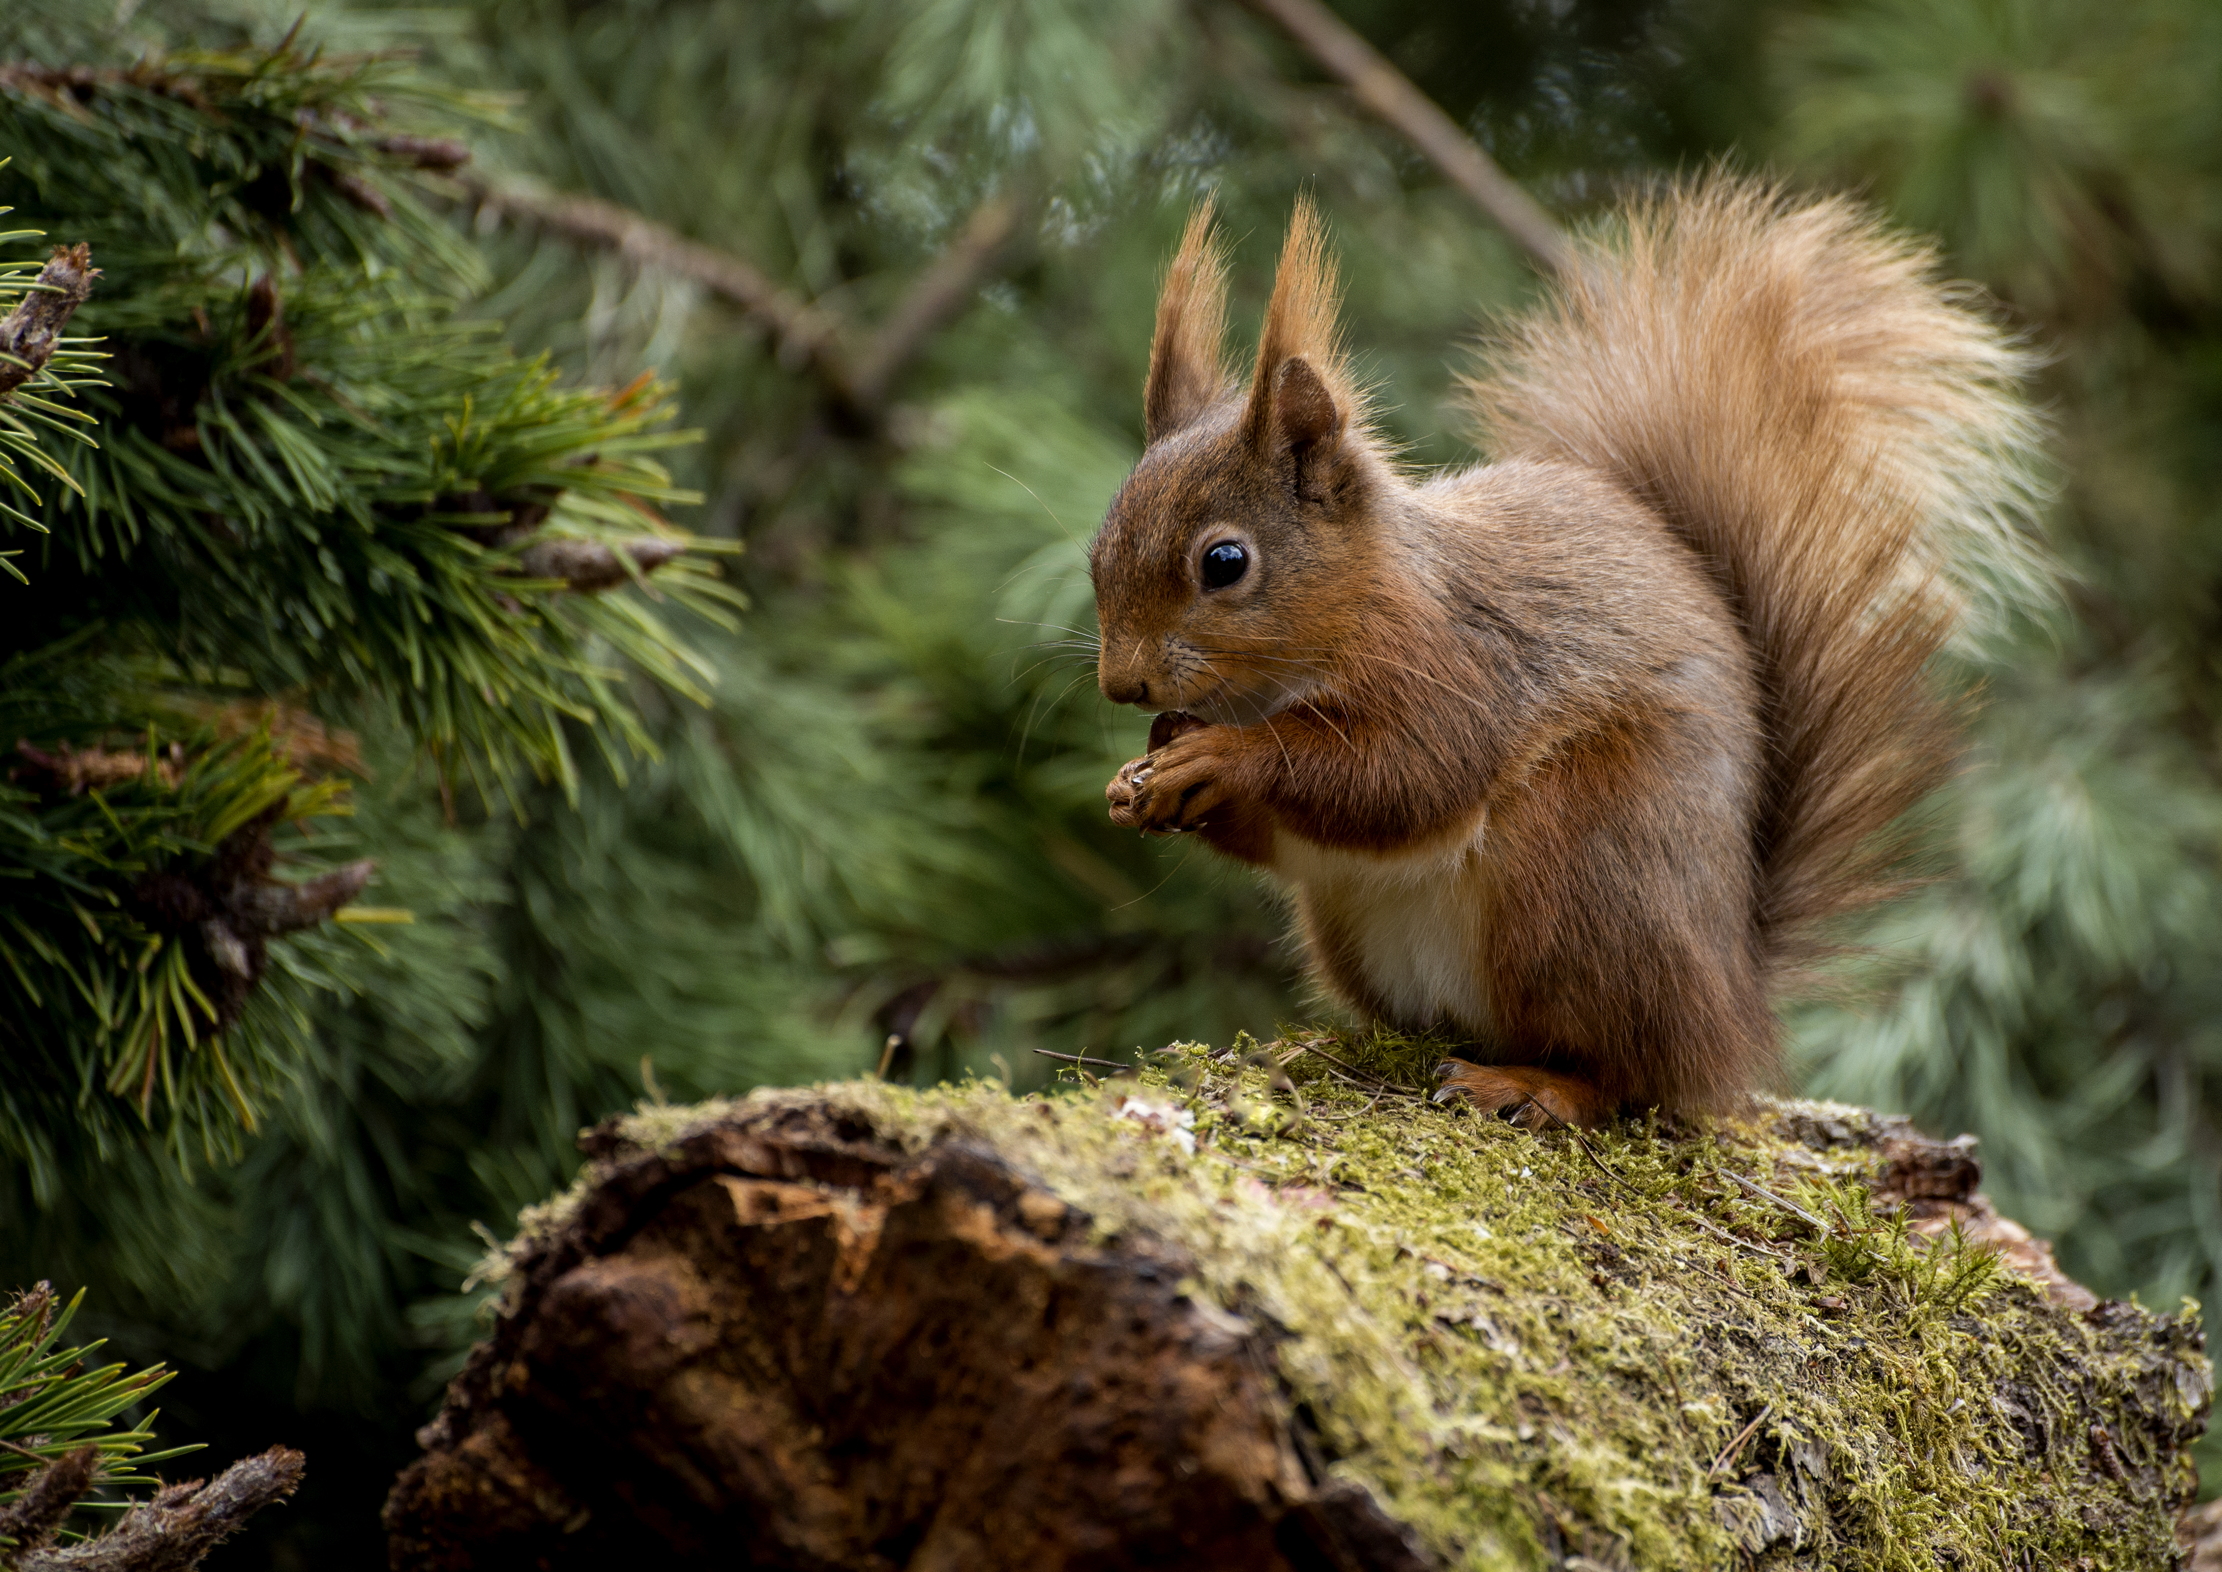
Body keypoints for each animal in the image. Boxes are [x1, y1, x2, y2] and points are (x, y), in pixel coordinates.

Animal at [1084, 177, 2035, 1125]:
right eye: (1097, 549)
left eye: (1224, 562)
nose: (1122, 684)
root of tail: (1734, 1002)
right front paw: (1144, 776)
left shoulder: (1458, 666)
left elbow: (1404, 774)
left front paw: (1219, 757)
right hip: (1360, 929)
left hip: (1581, 872)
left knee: (1627, 1073)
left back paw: (1530, 1084)